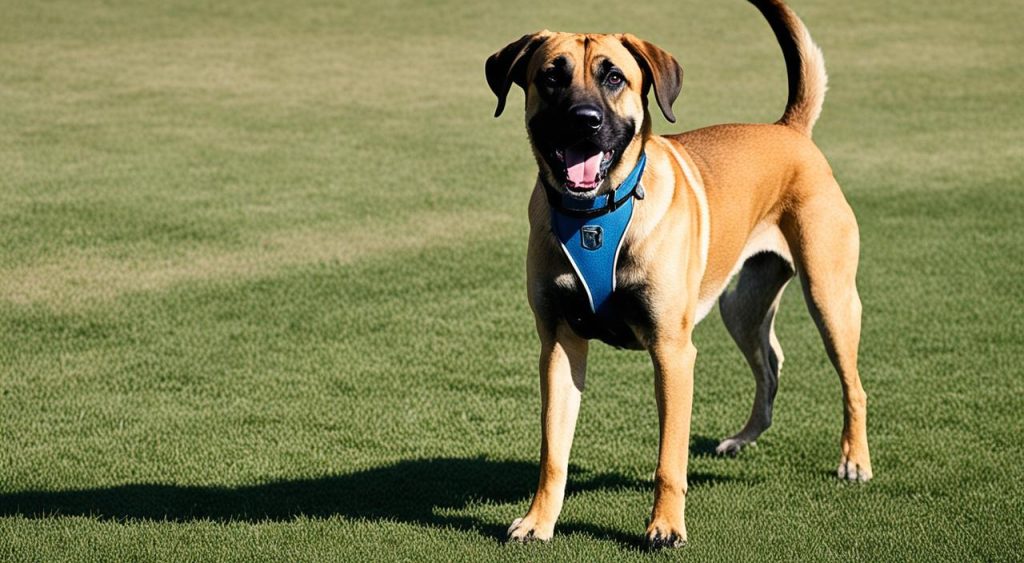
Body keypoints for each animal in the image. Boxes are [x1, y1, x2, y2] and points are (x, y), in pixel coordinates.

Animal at [487, 0, 872, 548]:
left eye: (614, 77)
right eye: (551, 76)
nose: (584, 121)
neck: (597, 213)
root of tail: (789, 130)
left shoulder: (672, 350)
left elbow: (670, 458)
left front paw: (665, 527)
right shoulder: (559, 343)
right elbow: (553, 453)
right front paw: (539, 521)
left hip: (828, 293)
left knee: (852, 385)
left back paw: (854, 461)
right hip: (740, 305)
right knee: (770, 363)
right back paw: (743, 438)